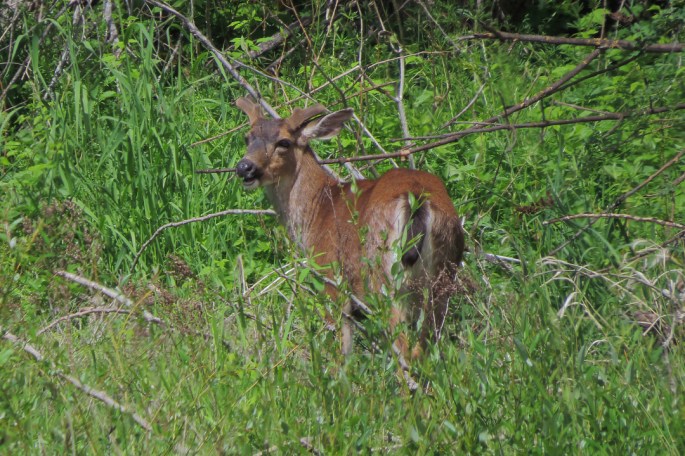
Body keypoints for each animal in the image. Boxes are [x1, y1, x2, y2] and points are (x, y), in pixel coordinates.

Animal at [235, 97, 465, 361]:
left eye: (284, 142)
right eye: (247, 138)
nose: (245, 167)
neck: (319, 209)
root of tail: (417, 198)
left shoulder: (331, 279)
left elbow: (342, 352)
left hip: (383, 274)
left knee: (405, 350)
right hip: (443, 273)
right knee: (425, 346)